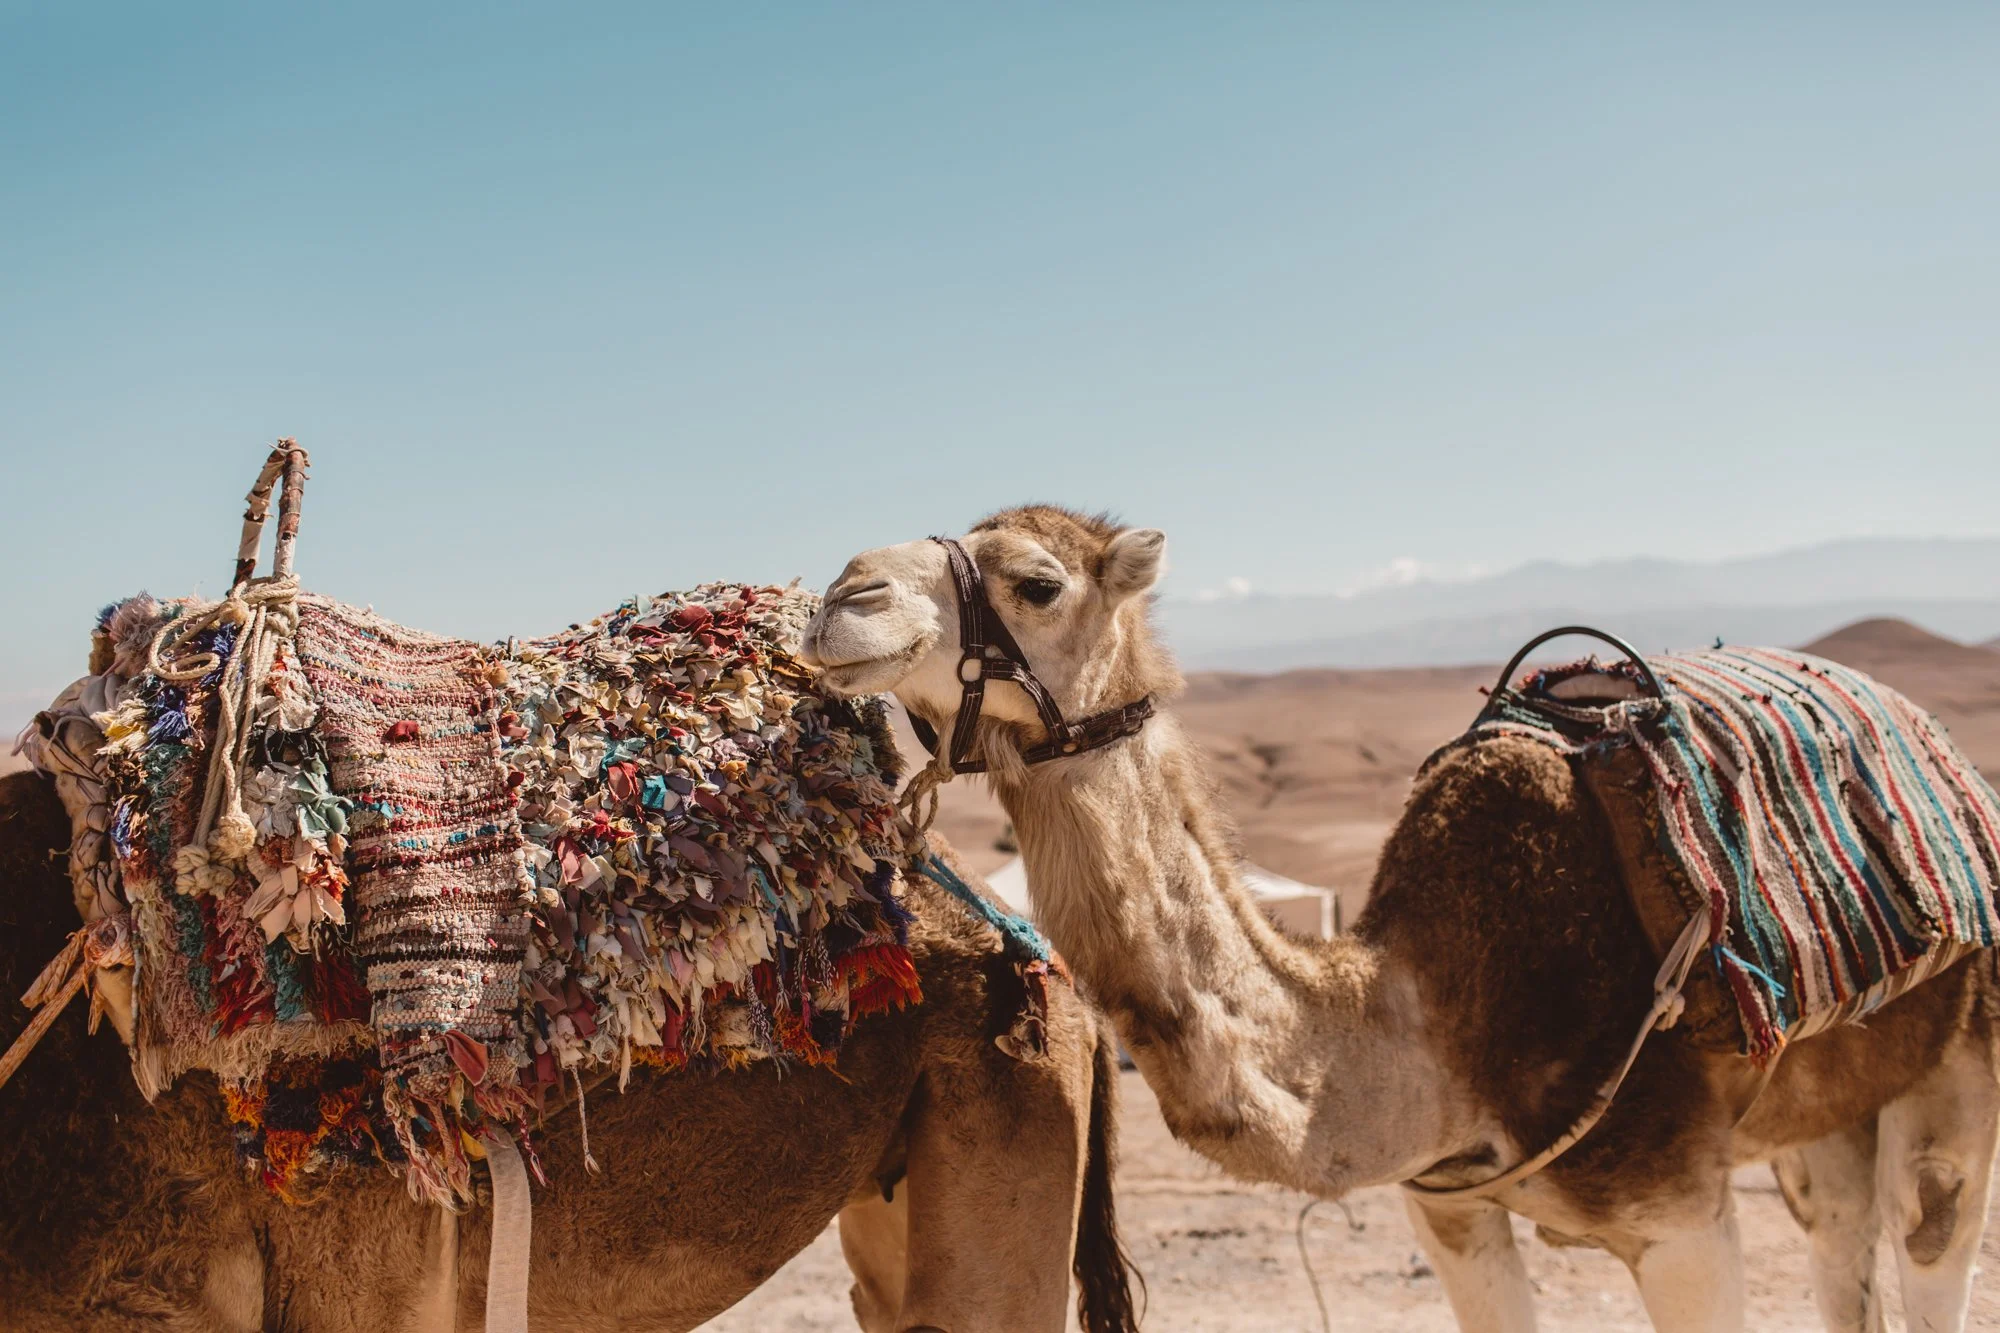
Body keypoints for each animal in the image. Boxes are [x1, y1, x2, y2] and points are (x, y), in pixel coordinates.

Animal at [803, 505, 2000, 1333]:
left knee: (1925, 1234)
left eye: (1036, 581)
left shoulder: (1681, 1219)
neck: (1440, 1021)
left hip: (1962, 1053)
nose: (842, 594)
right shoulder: (1451, 1208)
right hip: (1824, 1112)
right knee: (1841, 1236)